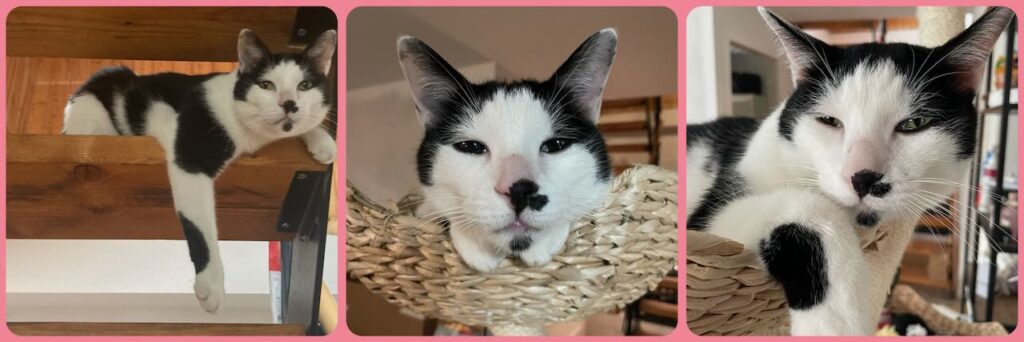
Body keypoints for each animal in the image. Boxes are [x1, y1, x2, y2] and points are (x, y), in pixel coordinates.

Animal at [61, 29, 337, 313]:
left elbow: (305, 126)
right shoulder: (191, 159)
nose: (289, 104)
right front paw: (212, 284)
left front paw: (322, 141)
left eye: (304, 85)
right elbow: (201, 226)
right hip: (97, 103)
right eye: (266, 85)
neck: (250, 135)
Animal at [684, 6, 1011, 335]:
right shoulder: (713, 222)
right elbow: (809, 206)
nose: (862, 178)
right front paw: (834, 322)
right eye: (829, 121)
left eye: (914, 124)